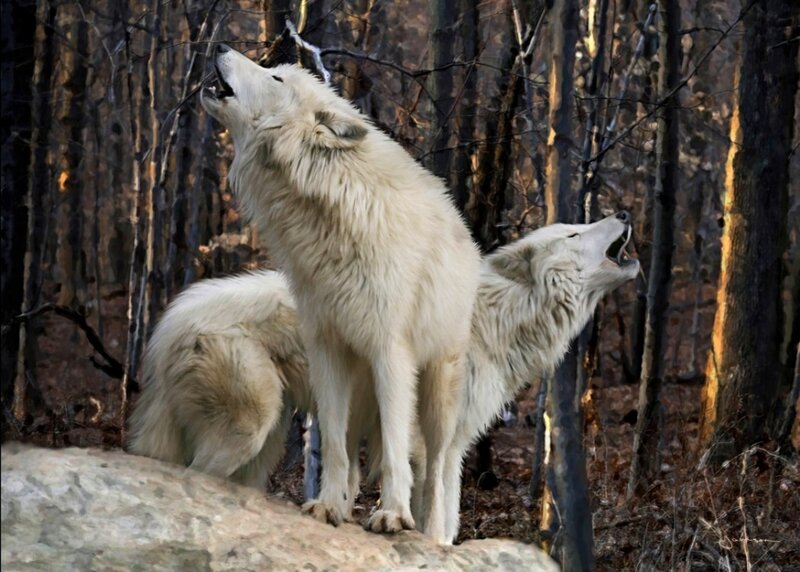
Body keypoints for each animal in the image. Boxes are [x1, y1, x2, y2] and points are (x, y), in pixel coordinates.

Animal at [129, 213, 638, 544]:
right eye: (575, 232)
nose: (625, 212)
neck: (498, 319)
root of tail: (167, 324)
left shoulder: (453, 449)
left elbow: (446, 525)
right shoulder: (424, 445)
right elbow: (433, 518)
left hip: (265, 444)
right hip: (249, 429)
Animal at [201, 45, 481, 537]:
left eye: (276, 78)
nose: (220, 47)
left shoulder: (391, 352)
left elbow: (395, 452)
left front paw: (392, 514)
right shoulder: (326, 349)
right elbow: (330, 444)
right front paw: (328, 506)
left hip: (437, 393)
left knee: (437, 471)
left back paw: (432, 535)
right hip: (359, 383)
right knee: (352, 451)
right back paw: (346, 504)